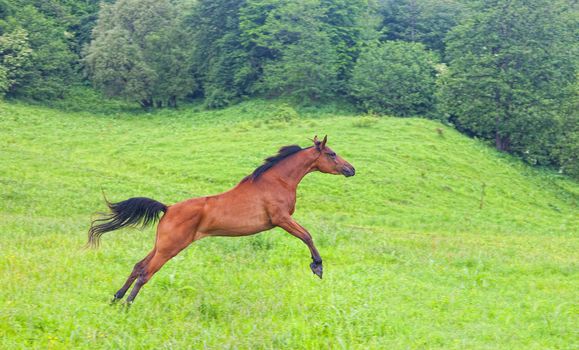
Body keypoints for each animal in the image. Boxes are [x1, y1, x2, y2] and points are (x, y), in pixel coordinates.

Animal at [88, 135, 356, 304]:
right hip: (170, 248)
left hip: (161, 245)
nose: (351, 169)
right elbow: (307, 235)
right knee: (146, 273)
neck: (277, 181)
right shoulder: (281, 219)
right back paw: (127, 305)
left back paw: (115, 299)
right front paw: (317, 267)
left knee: (137, 266)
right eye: (332, 154)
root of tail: (168, 208)